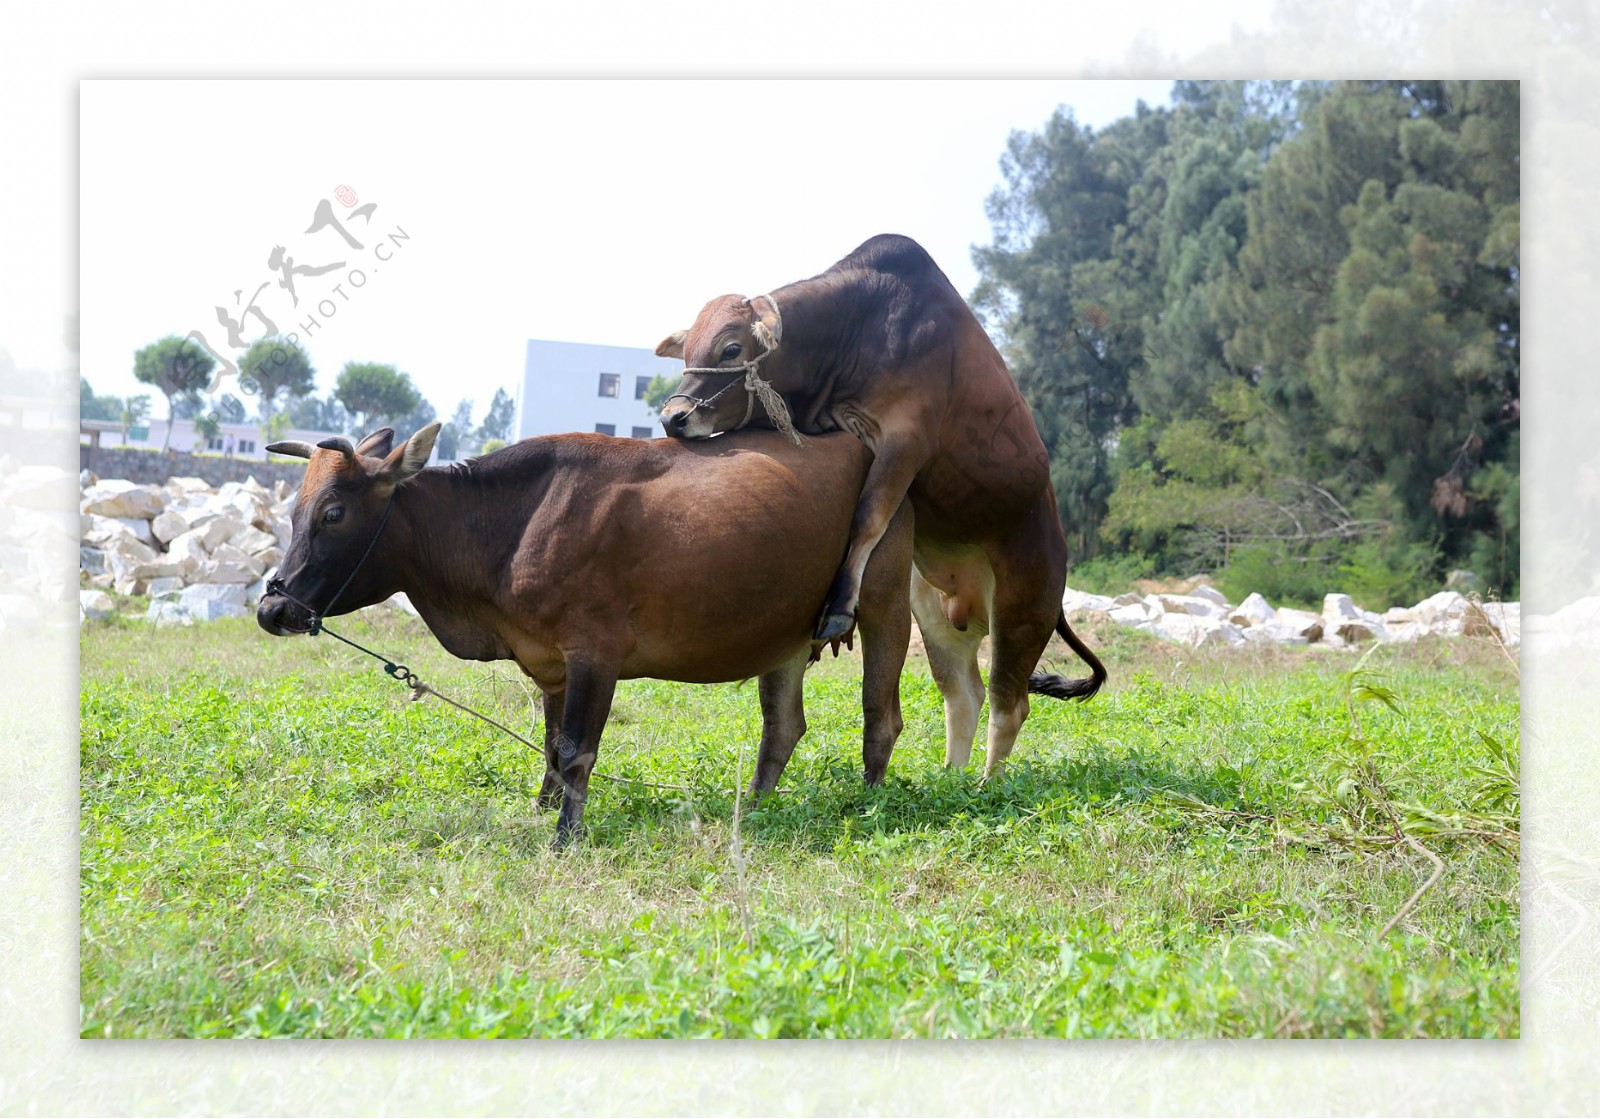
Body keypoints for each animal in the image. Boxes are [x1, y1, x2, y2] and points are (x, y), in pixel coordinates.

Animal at [259, 425, 915, 845]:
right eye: (293, 512)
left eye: (334, 513)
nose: (272, 608)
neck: (508, 525)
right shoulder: (549, 662)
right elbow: (552, 745)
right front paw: (542, 809)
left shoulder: (595, 655)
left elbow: (577, 749)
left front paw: (564, 837)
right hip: (784, 635)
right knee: (782, 728)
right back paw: (750, 810)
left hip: (884, 603)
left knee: (880, 717)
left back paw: (869, 802)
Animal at [656, 233, 1107, 778]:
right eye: (687, 352)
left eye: (730, 348)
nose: (673, 418)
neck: (857, 331)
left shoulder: (904, 442)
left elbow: (868, 517)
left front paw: (837, 608)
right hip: (936, 615)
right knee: (964, 694)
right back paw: (952, 780)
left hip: (1022, 612)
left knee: (1010, 703)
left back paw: (986, 785)